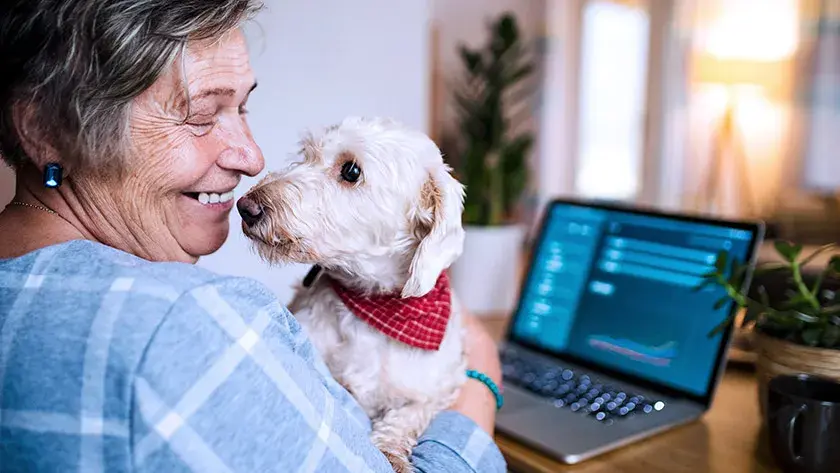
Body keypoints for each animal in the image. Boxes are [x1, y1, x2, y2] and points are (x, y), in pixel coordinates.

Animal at [240, 116, 470, 470]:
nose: (245, 207)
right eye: (306, 154)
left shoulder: (439, 387)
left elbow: (409, 414)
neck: (373, 309)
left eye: (351, 171)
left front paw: (390, 450)